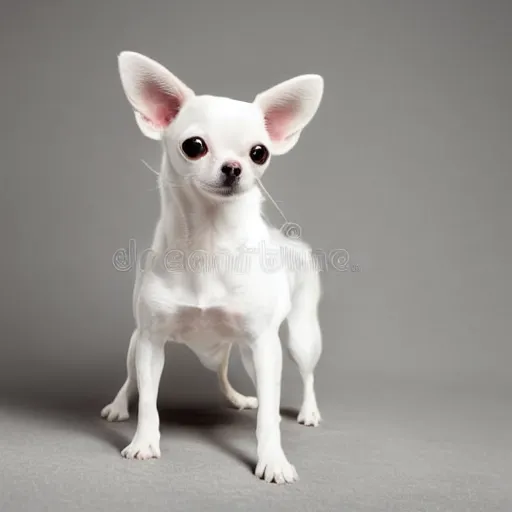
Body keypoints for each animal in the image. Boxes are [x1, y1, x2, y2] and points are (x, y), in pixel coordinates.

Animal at [101, 52, 324, 484]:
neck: (209, 240)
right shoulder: (151, 341)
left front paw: (273, 460)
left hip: (297, 339)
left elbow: (269, 415)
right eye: (195, 146)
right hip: (139, 343)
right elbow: (149, 399)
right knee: (134, 380)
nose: (234, 167)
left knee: (303, 375)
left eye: (259, 152)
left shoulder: (264, 346)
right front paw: (144, 442)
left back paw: (306, 411)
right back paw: (120, 406)